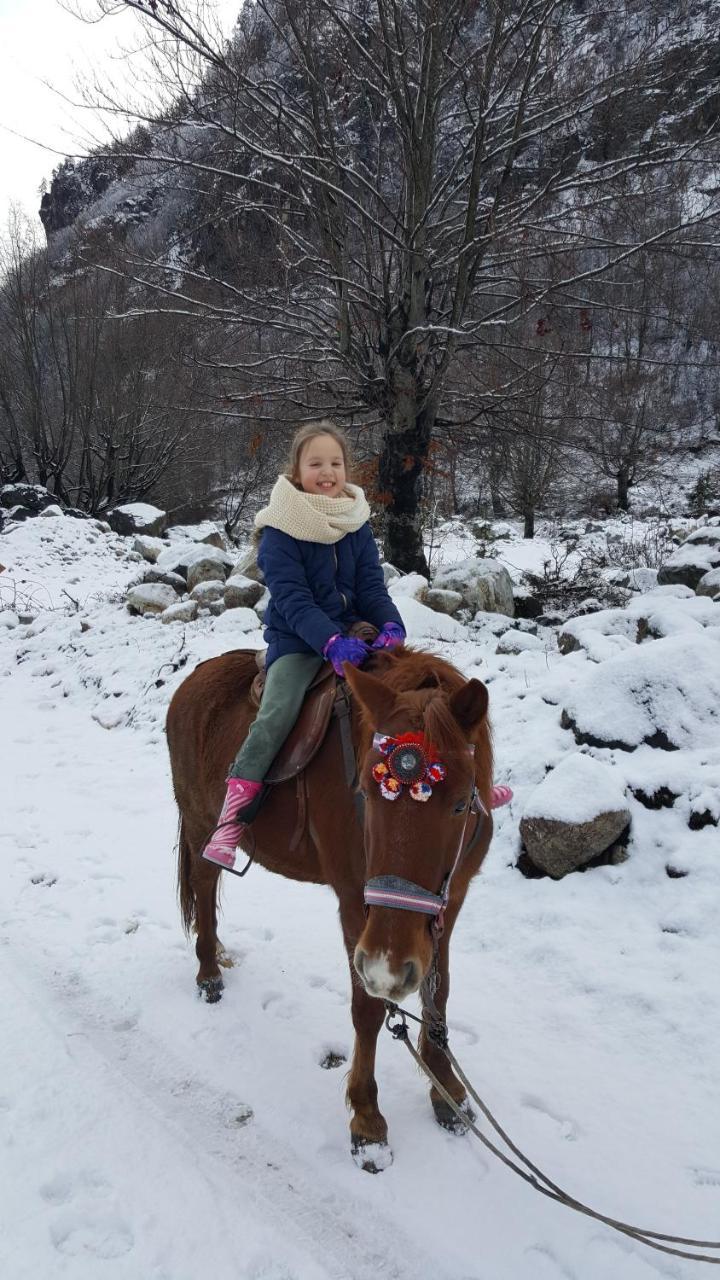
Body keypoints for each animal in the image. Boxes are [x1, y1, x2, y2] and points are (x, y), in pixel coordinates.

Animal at [166, 650, 491, 1172]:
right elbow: (367, 1009)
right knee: (204, 886)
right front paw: (368, 1120)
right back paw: (209, 972)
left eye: (461, 804)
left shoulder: (448, 904)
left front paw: (447, 1093)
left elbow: (438, 996)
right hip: (199, 824)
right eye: (365, 791)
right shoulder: (357, 907)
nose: (391, 968)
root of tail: (196, 674)